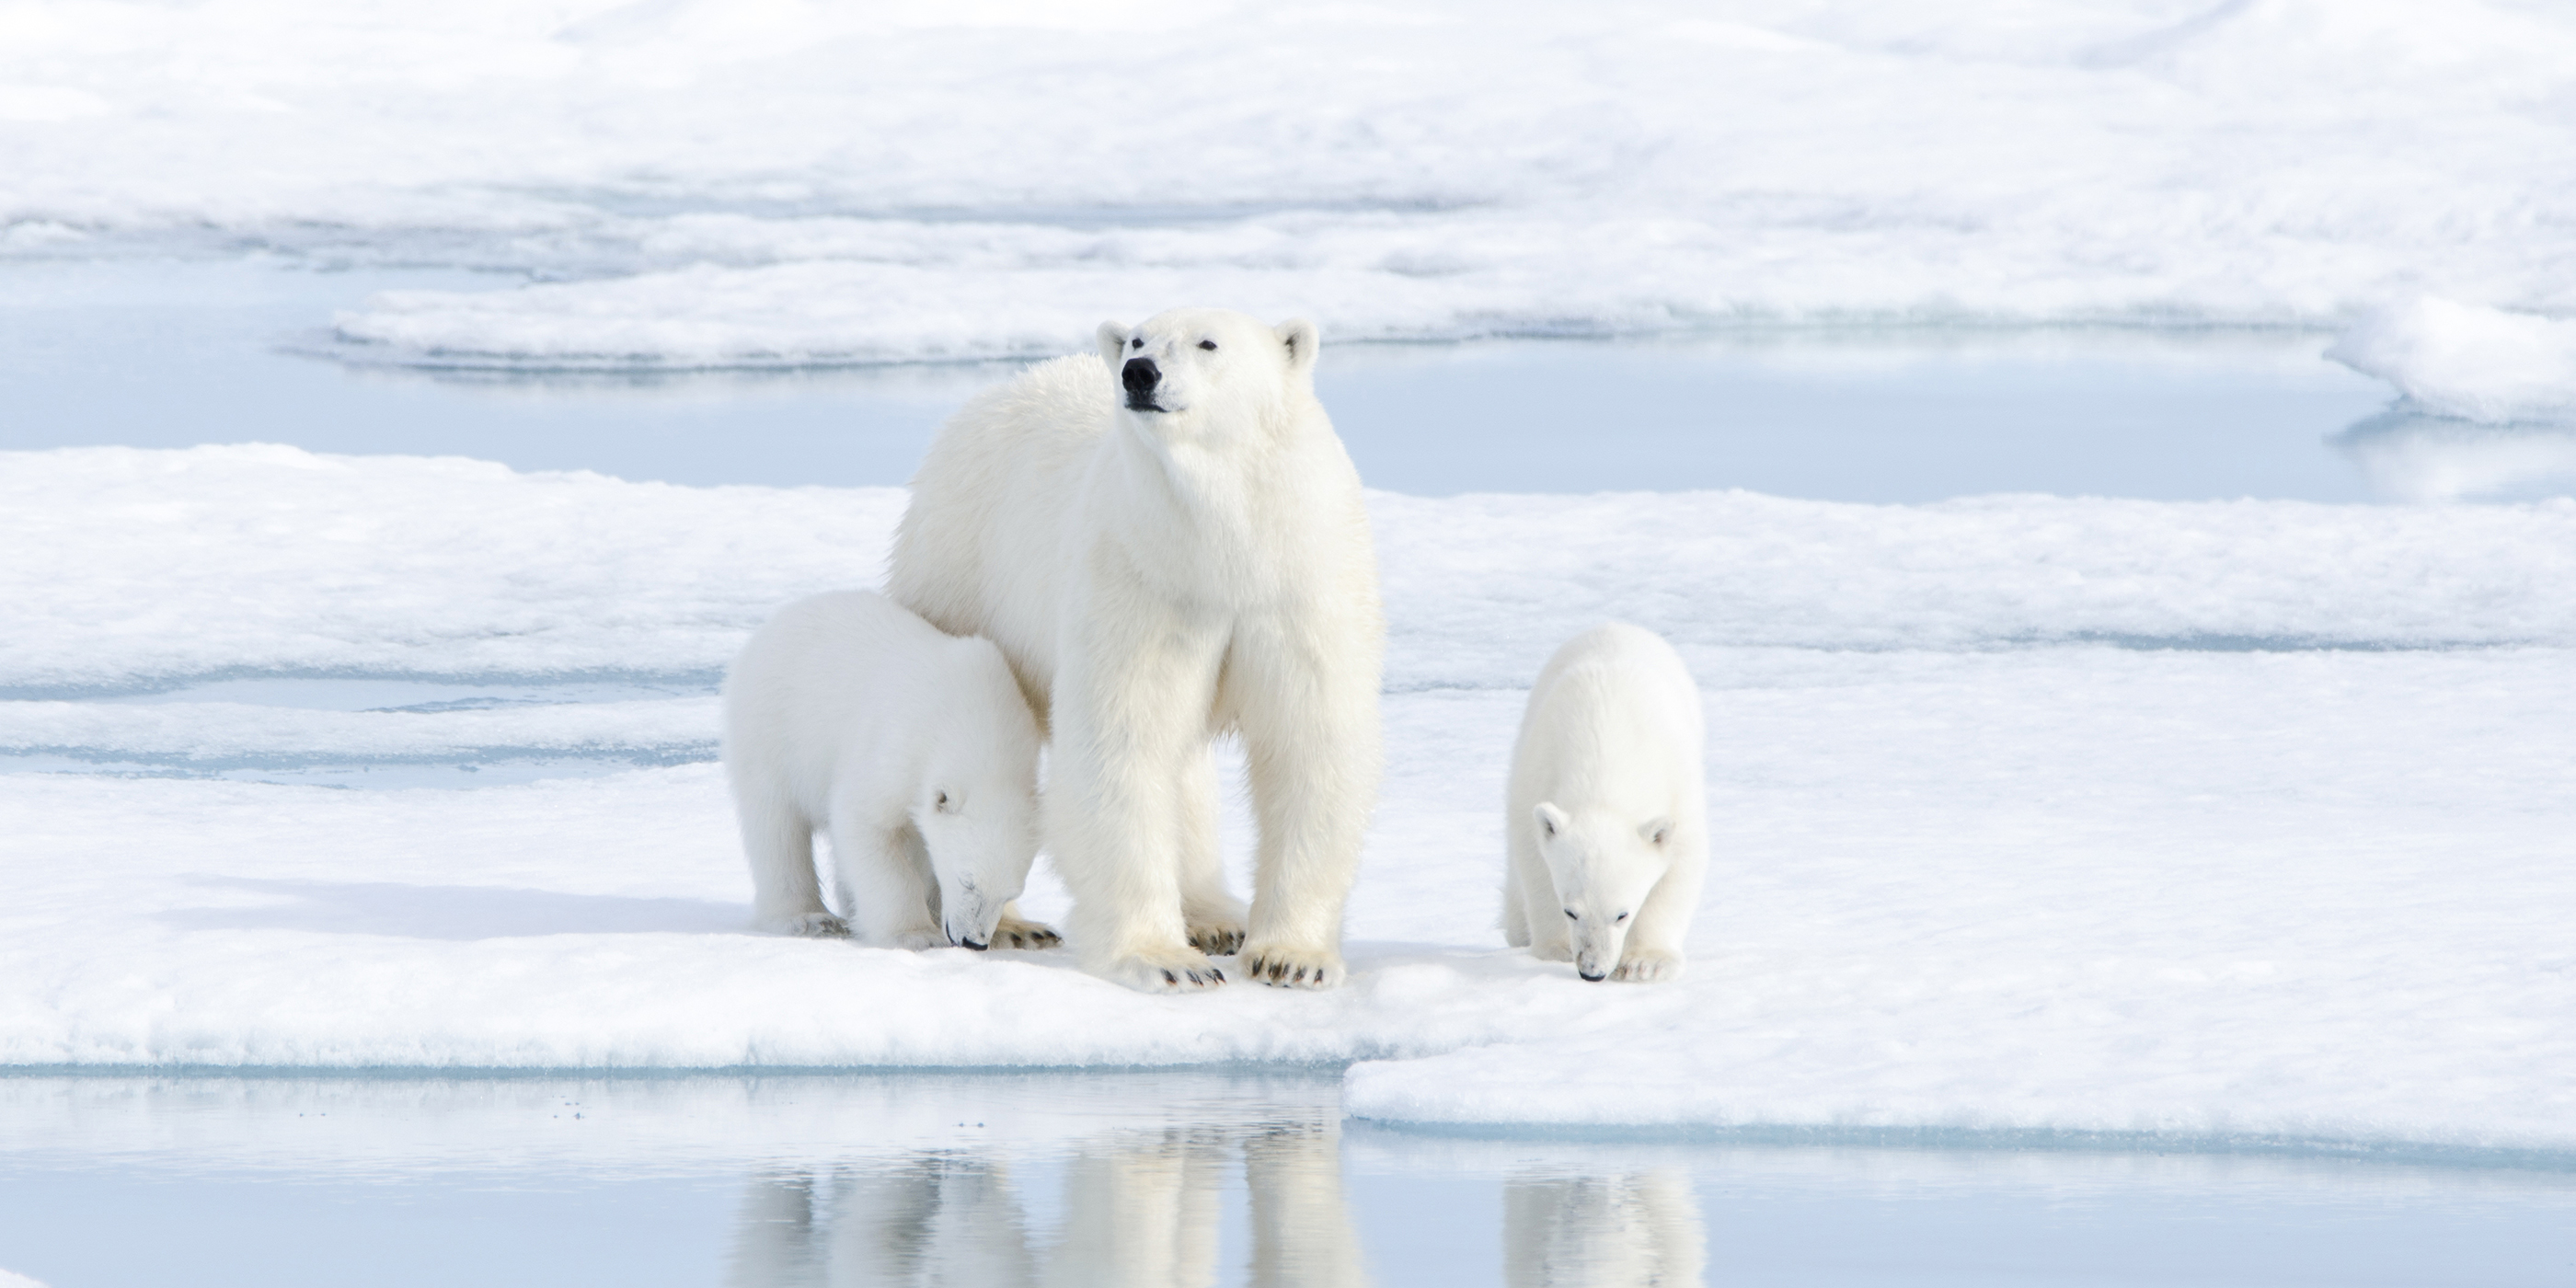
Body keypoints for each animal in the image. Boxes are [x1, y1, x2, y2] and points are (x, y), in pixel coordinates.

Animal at [891, 311, 1391, 994]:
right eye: (1138, 339)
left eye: (1208, 342)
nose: (1139, 373)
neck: (1222, 549)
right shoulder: (1140, 578)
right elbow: (1124, 741)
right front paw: (1166, 961)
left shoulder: (1295, 587)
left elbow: (1309, 740)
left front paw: (1291, 957)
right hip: (961, 571)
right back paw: (1012, 922)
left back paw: (1213, 916)